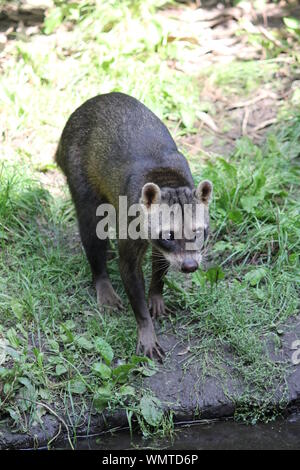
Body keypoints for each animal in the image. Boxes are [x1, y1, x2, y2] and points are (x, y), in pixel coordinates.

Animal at [55, 93, 212, 362]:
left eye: (199, 231)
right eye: (169, 234)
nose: (190, 266)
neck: (166, 179)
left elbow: (160, 264)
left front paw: (156, 294)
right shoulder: (133, 224)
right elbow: (129, 272)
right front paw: (146, 328)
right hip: (79, 175)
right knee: (91, 230)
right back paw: (101, 277)